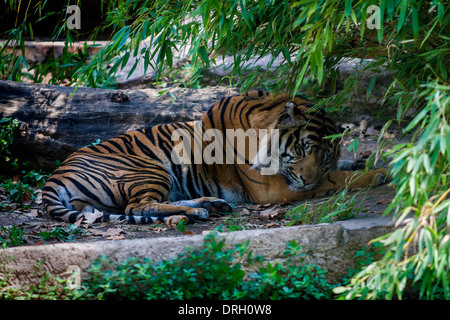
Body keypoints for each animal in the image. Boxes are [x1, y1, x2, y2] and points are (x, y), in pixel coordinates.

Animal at [41, 91, 386, 224]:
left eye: (326, 156)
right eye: (302, 149)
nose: (307, 180)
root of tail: (56, 174)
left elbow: (340, 170)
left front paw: (361, 162)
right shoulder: (273, 188)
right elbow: (338, 180)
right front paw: (379, 173)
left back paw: (212, 204)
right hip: (147, 168)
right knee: (137, 206)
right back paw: (199, 212)